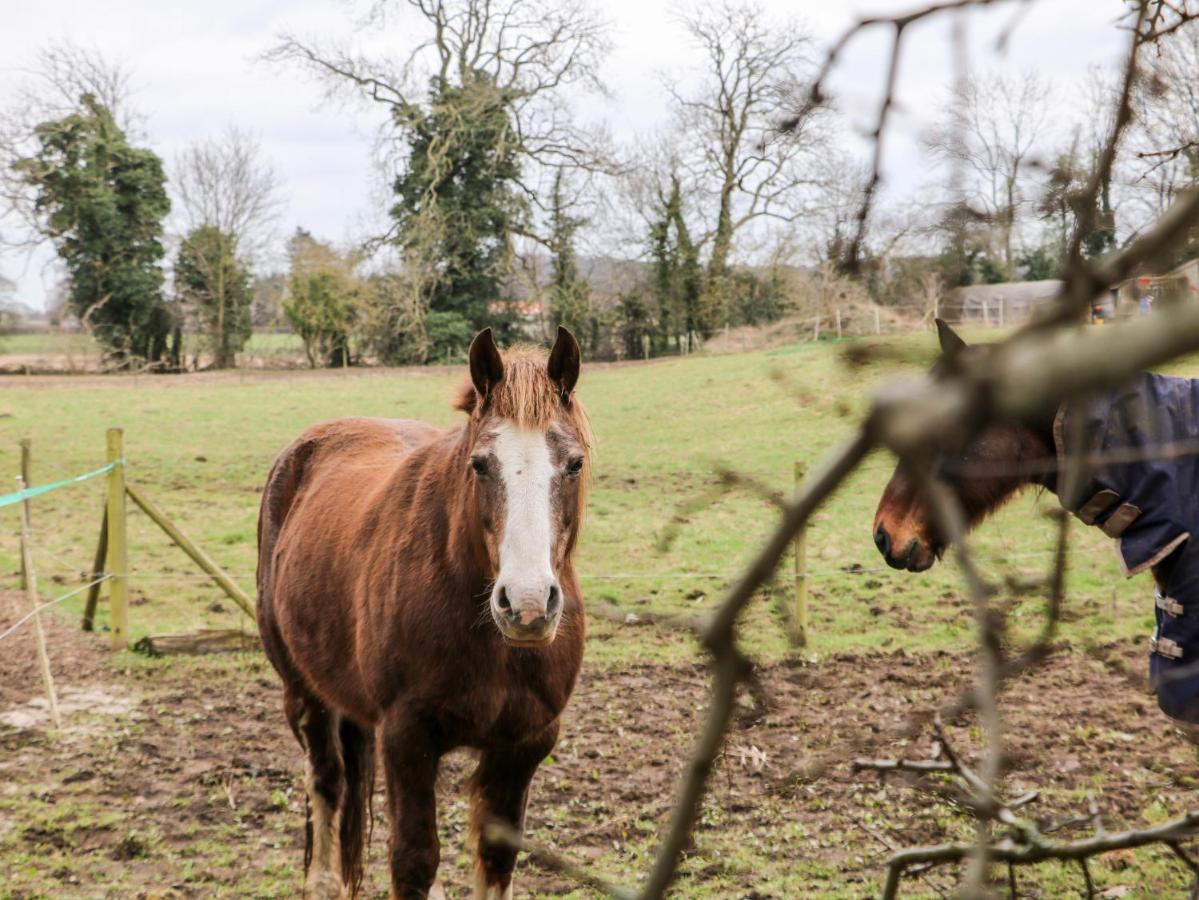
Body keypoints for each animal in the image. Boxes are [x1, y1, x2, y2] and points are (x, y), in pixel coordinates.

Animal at [257, 328, 589, 900]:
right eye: (480, 463)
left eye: (574, 463)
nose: (526, 606)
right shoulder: (407, 739)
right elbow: (413, 860)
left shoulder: (523, 746)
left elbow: (497, 857)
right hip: (304, 691)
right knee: (325, 778)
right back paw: (321, 880)